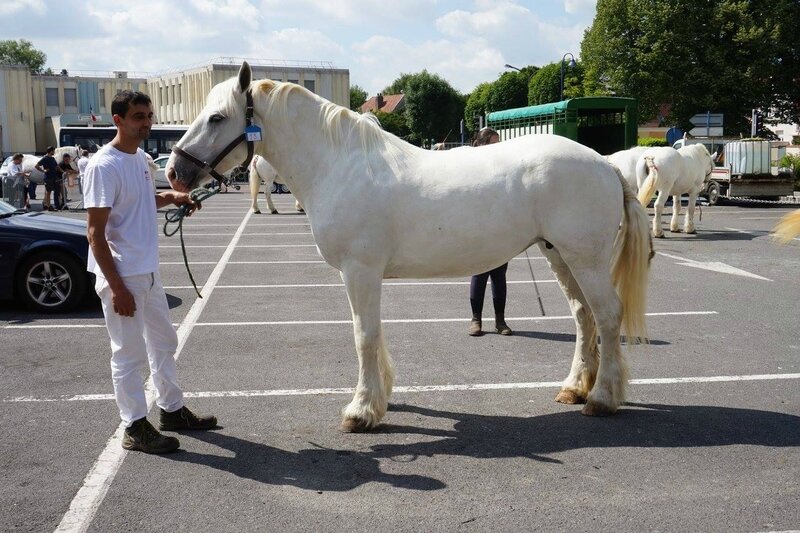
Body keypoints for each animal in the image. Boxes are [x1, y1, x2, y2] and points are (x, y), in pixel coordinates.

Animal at [166, 61, 652, 428]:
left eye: (216, 118)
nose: (174, 172)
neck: (340, 164)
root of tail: (606, 164)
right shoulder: (361, 275)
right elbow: (371, 333)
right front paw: (380, 398)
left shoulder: (360, 270)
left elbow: (363, 335)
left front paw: (361, 411)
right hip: (560, 256)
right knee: (584, 317)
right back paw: (574, 388)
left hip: (584, 258)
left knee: (608, 316)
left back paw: (602, 398)